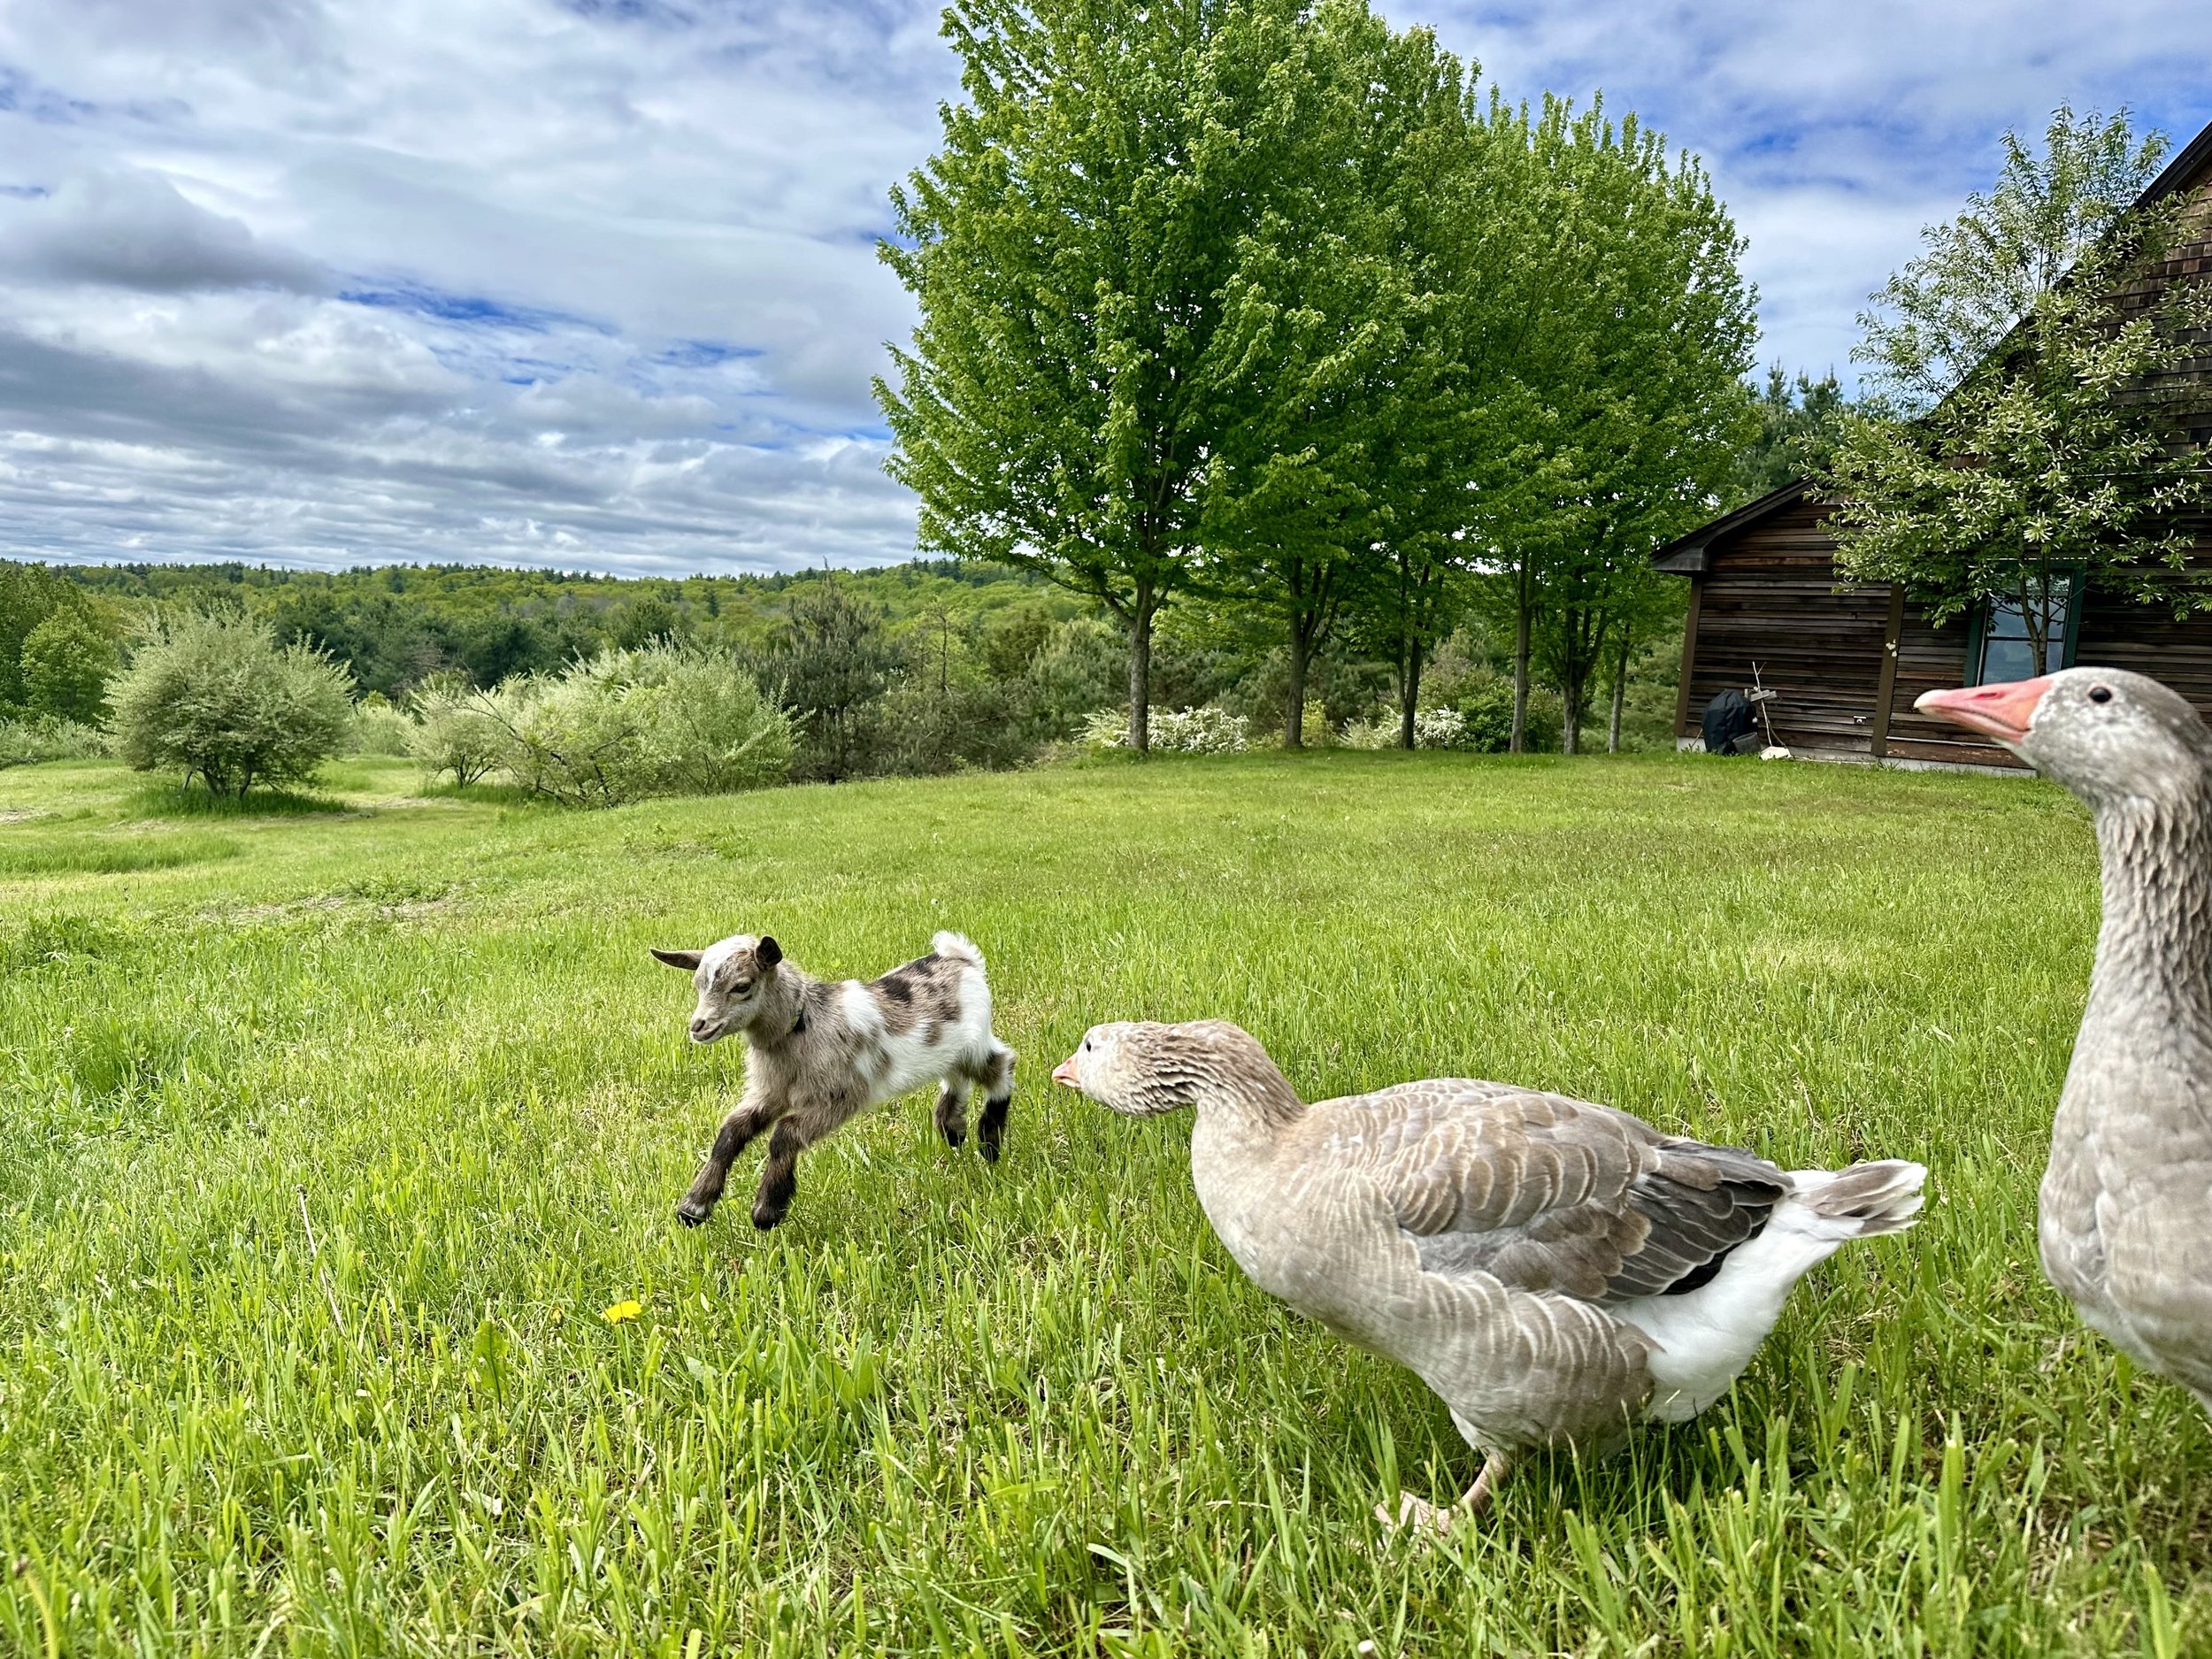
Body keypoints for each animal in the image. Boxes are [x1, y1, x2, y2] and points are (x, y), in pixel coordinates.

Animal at [651, 930, 1015, 1230]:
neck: (804, 1022)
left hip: (975, 1043)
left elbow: (785, 1133)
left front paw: (767, 1210)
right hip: (950, 1051)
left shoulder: (839, 1095)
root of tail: (961, 958)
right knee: (957, 1078)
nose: (698, 1027)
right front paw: (694, 1207)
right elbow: (732, 1131)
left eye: (743, 986)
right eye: (698, 985)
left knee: (1002, 1064)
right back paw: (952, 1130)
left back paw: (989, 1141)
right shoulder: (769, 1091)